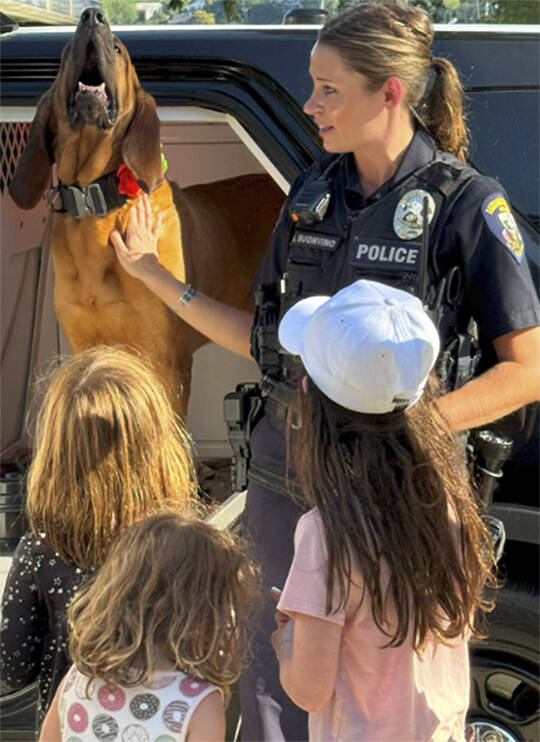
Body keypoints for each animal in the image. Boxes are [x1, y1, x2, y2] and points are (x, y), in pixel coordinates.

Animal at [9, 7, 282, 418]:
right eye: (68, 48)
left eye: (118, 49)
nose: (92, 14)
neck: (95, 203)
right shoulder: (86, 349)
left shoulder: (168, 362)